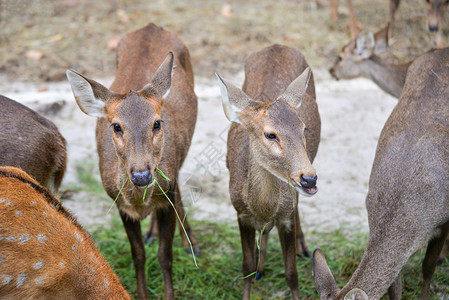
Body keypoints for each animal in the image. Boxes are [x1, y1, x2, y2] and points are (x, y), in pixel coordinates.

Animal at [66, 22, 198, 298]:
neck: (139, 202)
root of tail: (151, 26)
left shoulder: (166, 196)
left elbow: (165, 256)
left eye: (156, 123)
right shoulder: (119, 204)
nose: (141, 175)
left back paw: (190, 243)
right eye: (116, 126)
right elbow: (138, 255)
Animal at [215, 43, 320, 298]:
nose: (309, 178)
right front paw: (252, 276)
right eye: (271, 134)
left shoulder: (286, 217)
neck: (262, 208)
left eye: (304, 128)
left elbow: (291, 274)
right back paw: (261, 268)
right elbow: (246, 267)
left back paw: (303, 247)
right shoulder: (240, 212)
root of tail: (277, 45)